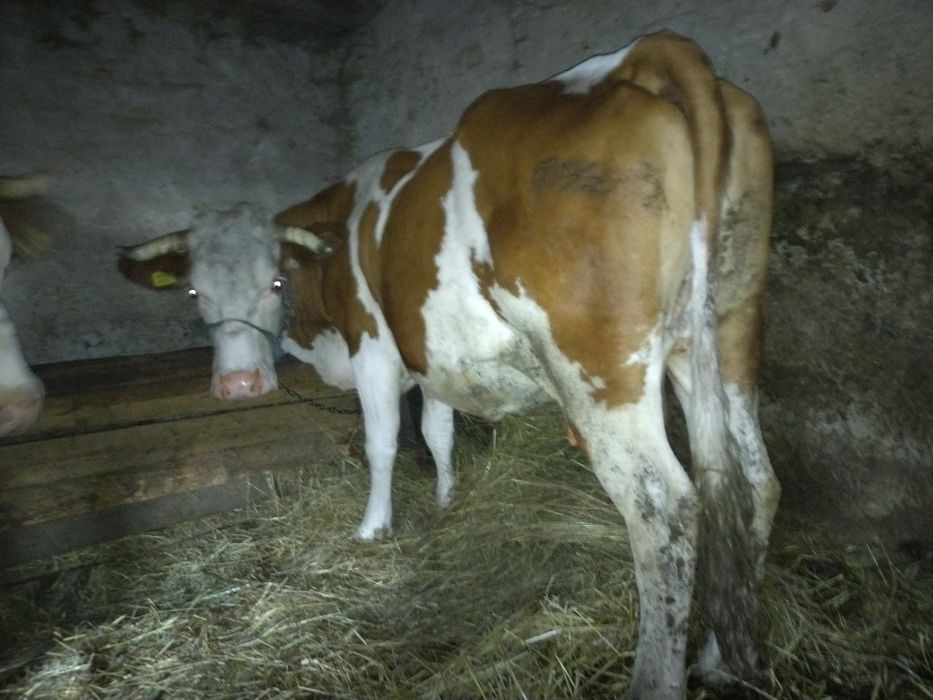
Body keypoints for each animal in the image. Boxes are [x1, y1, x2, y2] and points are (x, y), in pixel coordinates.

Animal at [119, 31, 779, 699]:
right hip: (725, 332)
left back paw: (658, 676)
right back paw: (723, 655)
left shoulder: (375, 348)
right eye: (195, 293)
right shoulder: (431, 355)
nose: (239, 384)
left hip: (600, 368)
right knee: (750, 484)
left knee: (663, 507)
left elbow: (383, 441)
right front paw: (445, 500)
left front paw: (373, 528)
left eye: (275, 283)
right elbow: (438, 432)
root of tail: (641, 56)